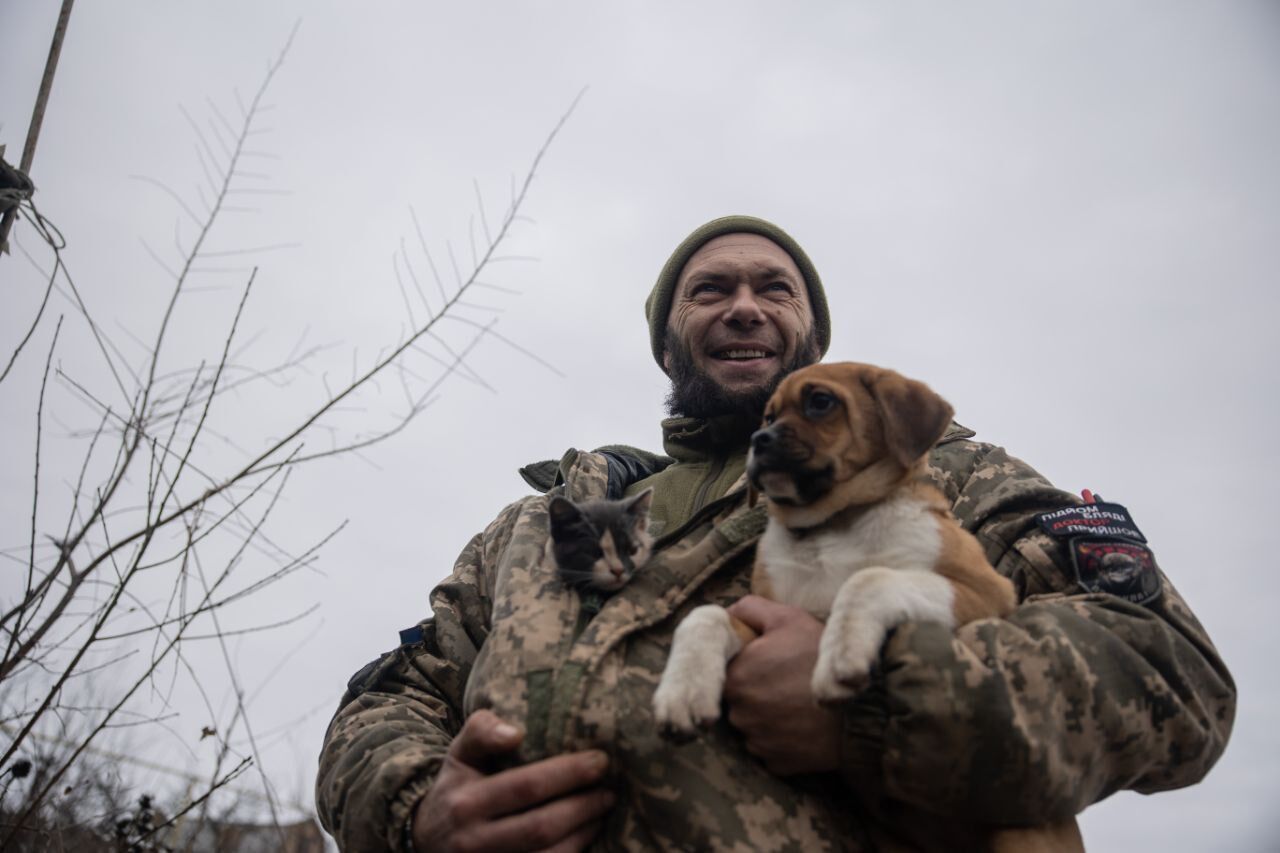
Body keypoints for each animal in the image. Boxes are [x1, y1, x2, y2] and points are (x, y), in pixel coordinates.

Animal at [650, 361, 1080, 850]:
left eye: (820, 402)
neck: (829, 526)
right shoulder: (763, 614)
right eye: (767, 417)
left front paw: (840, 656)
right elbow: (705, 616)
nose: (758, 441)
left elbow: (868, 577)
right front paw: (682, 692)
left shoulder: (985, 591)